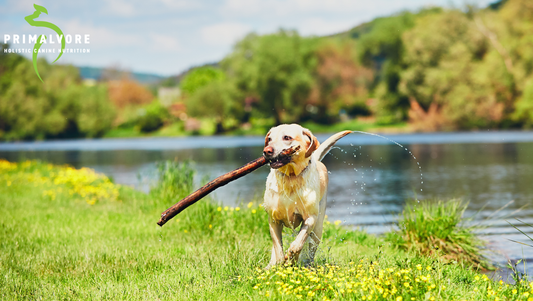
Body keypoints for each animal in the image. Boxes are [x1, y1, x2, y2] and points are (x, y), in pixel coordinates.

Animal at [260, 123, 350, 268]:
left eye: (287, 137)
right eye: (269, 139)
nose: (266, 151)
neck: (291, 177)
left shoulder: (310, 218)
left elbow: (299, 242)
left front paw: (292, 257)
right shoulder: (273, 220)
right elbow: (278, 247)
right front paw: (279, 262)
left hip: (318, 227)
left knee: (311, 247)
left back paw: (308, 264)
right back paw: (270, 265)